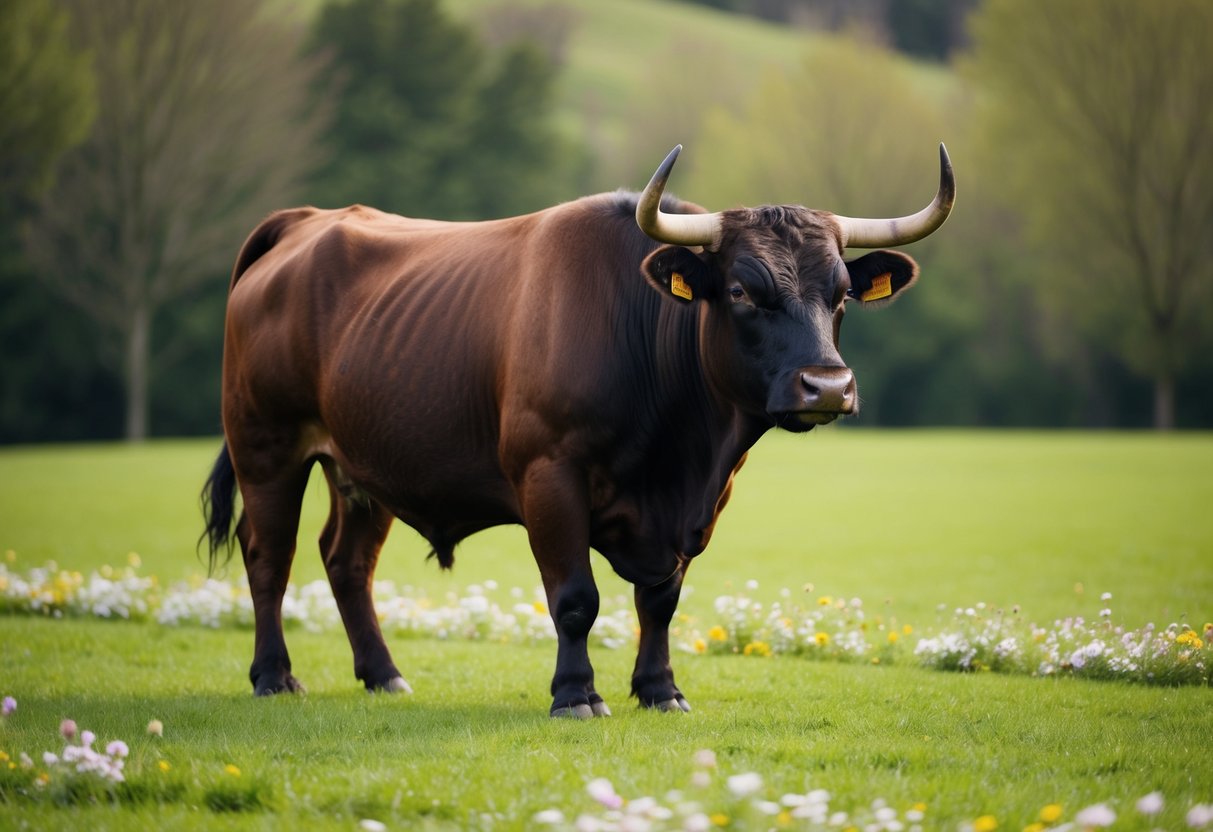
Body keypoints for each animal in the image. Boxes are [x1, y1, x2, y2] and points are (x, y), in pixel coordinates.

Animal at [201, 143, 955, 717]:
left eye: (841, 294)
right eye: (742, 290)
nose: (827, 386)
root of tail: (308, 224)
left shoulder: (701, 505)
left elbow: (661, 600)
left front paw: (659, 690)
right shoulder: (549, 476)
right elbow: (574, 598)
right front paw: (575, 695)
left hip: (362, 468)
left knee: (346, 561)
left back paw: (383, 674)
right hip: (267, 447)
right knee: (268, 556)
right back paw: (274, 675)